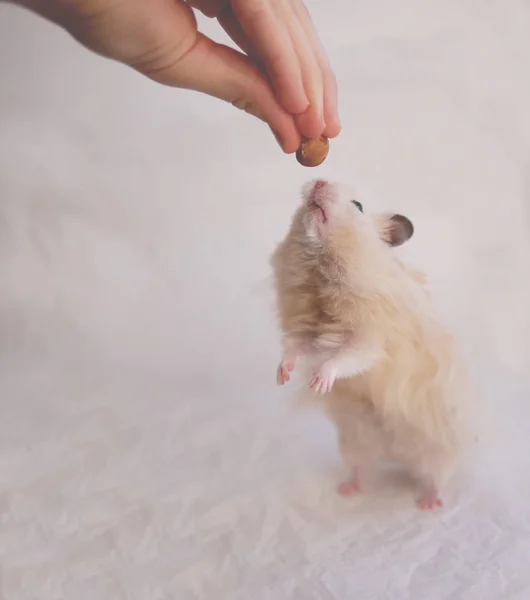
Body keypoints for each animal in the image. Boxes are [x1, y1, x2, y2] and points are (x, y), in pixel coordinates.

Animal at [270, 179, 468, 510]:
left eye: (358, 205)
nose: (319, 180)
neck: (321, 271)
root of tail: (396, 456)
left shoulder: (370, 339)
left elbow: (347, 358)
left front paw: (319, 382)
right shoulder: (309, 331)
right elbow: (296, 349)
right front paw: (281, 376)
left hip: (439, 455)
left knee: (436, 479)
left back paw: (428, 504)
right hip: (353, 444)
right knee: (359, 469)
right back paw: (347, 489)